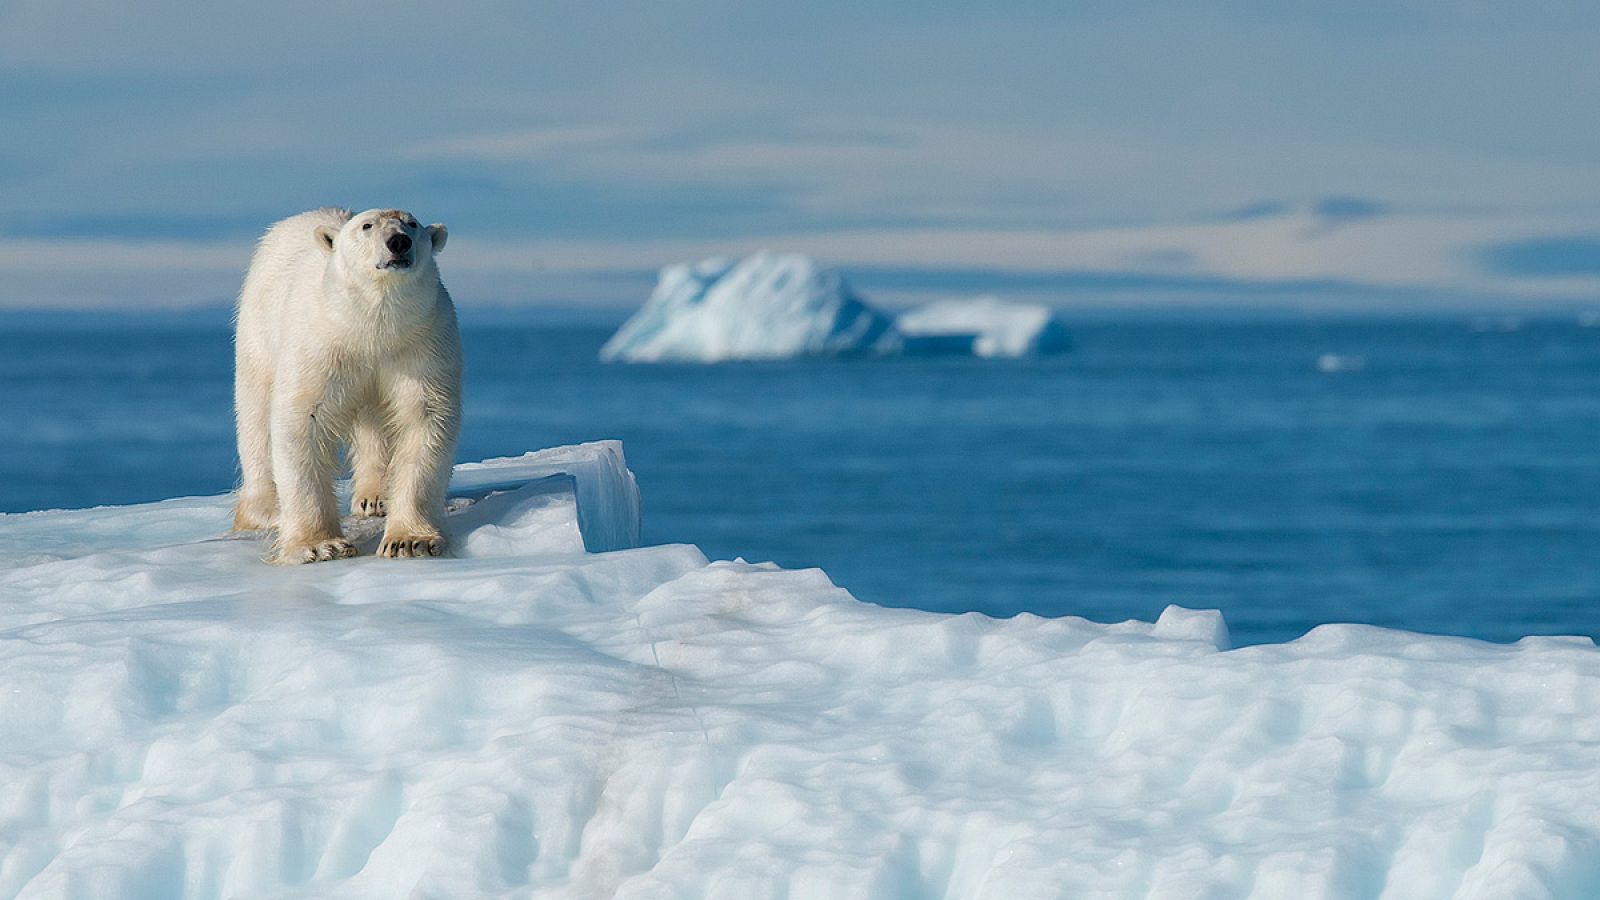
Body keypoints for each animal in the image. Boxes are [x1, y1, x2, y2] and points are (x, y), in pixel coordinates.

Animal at [233, 206, 467, 563]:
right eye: (367, 226)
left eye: (412, 224)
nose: (398, 242)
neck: (371, 325)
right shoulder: (321, 345)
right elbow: (303, 419)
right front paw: (319, 545)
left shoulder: (421, 343)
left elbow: (424, 419)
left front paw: (409, 541)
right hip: (257, 327)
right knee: (255, 416)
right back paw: (265, 511)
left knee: (374, 422)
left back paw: (375, 497)